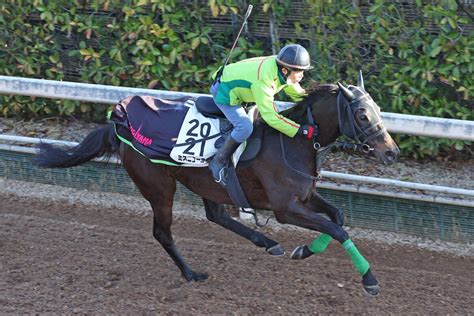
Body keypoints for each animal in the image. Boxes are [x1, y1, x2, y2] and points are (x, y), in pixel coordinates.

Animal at [33, 72, 398, 296]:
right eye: (362, 115)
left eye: (379, 109)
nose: (391, 152)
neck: (294, 141)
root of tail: (119, 122)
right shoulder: (285, 208)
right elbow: (337, 229)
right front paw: (370, 280)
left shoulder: (305, 197)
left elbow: (337, 218)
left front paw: (303, 250)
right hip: (159, 187)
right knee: (163, 232)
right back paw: (191, 273)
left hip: (206, 183)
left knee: (217, 215)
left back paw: (267, 243)